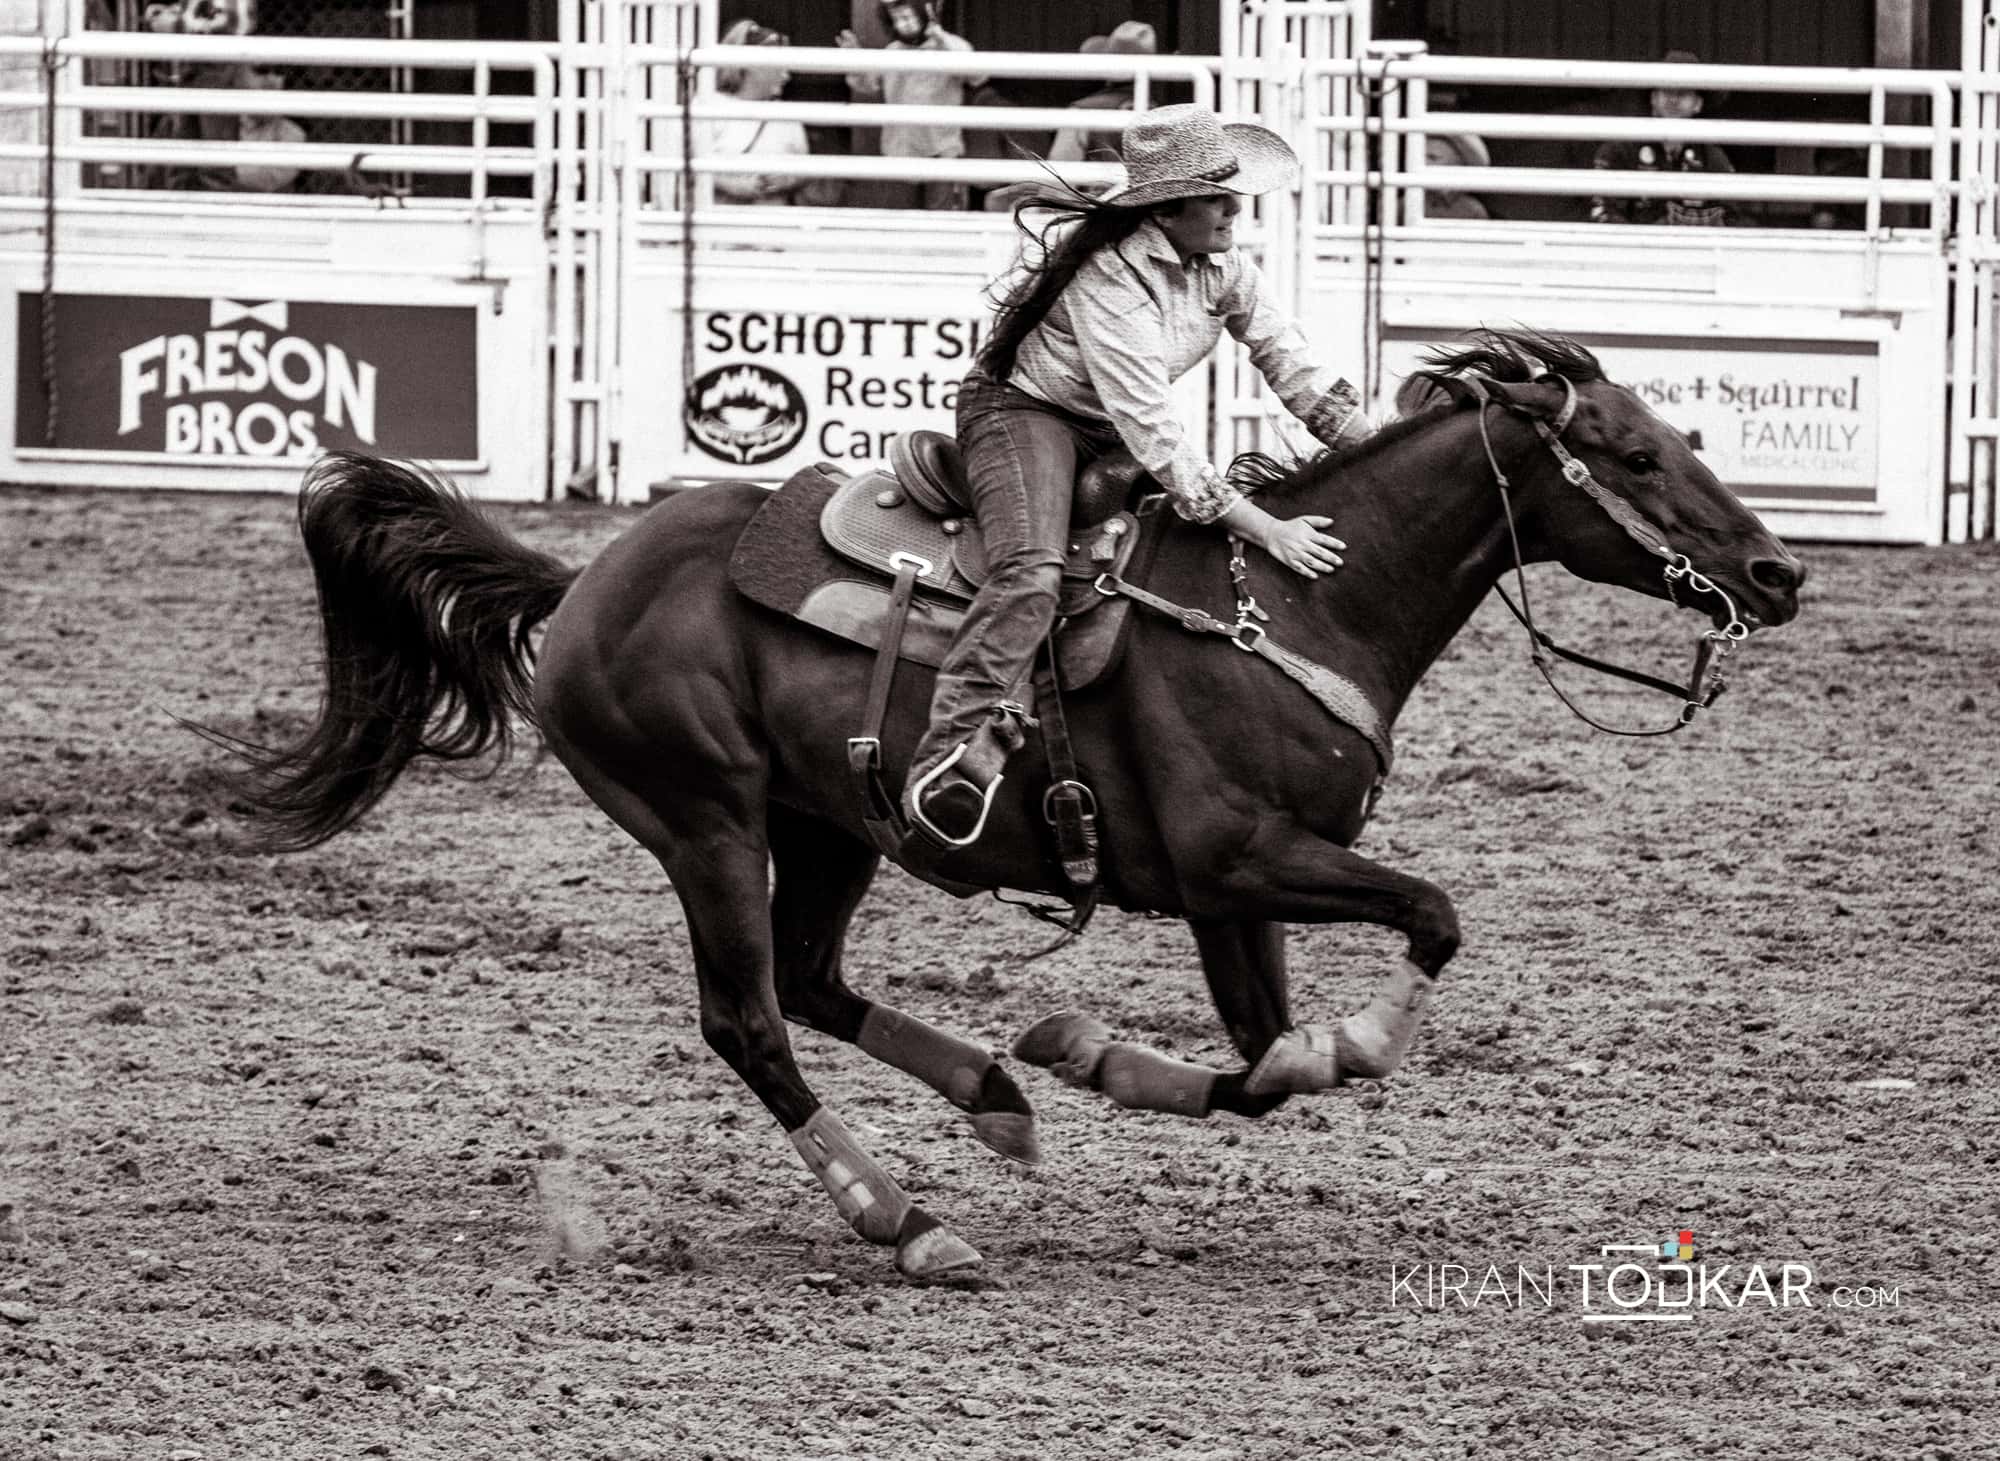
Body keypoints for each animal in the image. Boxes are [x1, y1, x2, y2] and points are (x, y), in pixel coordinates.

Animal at [223, 329, 1804, 1285]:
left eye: (1679, 429)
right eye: (1637, 455)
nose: (1779, 573)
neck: (1301, 602)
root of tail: (583, 581)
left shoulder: (1229, 890)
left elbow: (1259, 1060)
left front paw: (1082, 1050)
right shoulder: (1245, 858)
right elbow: (1425, 925)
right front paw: (1344, 1040)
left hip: (833, 825)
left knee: (813, 981)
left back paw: (996, 1099)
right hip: (706, 824)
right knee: (749, 1018)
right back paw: (907, 1220)